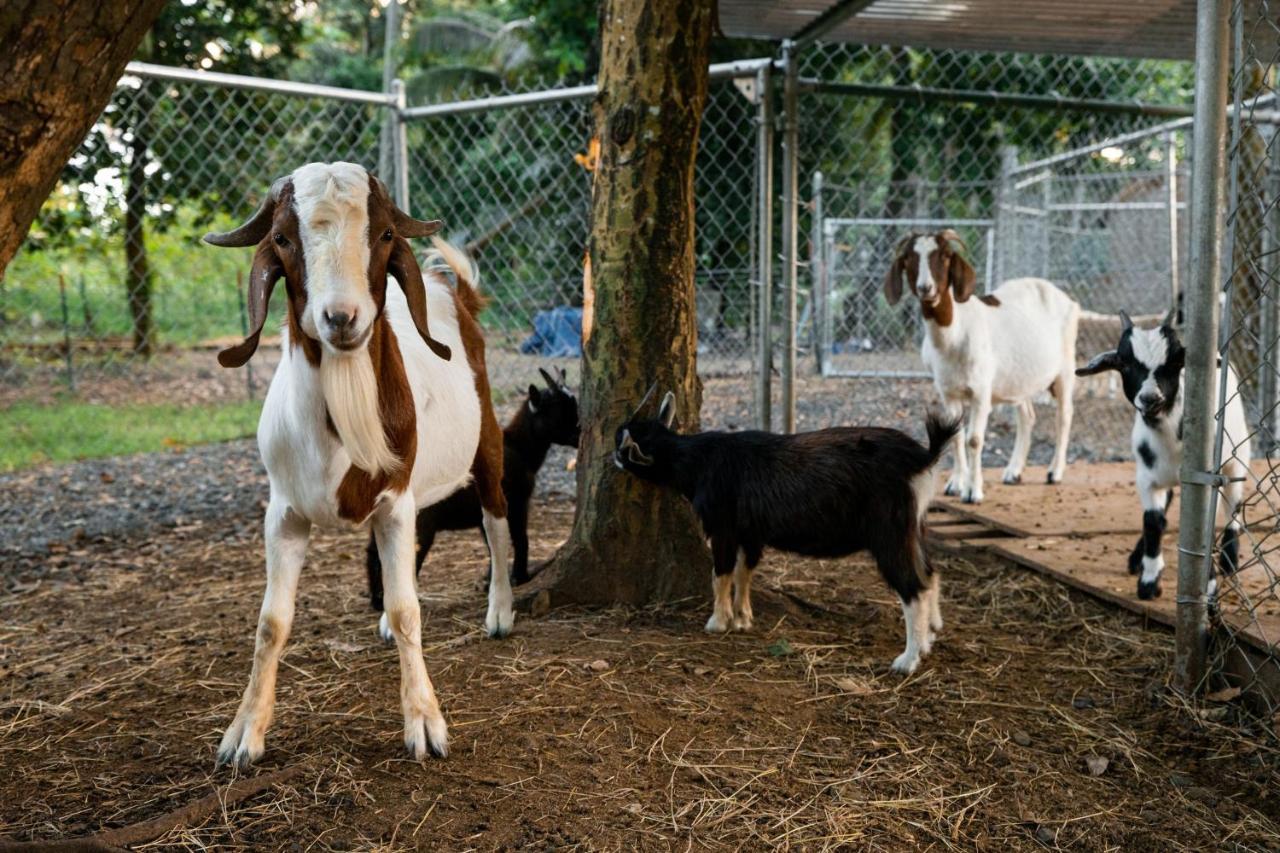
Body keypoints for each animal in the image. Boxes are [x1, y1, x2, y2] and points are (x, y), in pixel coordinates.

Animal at [204, 159, 514, 763]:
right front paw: (244, 732)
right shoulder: (283, 513)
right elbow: (270, 622)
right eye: (283, 238)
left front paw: (425, 724)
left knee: (495, 518)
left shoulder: (396, 500)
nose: (341, 318)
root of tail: (454, 292)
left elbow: (409, 608)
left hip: (487, 436)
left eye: (385, 234)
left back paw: (501, 613)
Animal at [363, 361, 578, 635]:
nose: (580, 433)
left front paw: (490, 582)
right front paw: (520, 577)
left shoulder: (485, 512)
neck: (519, 447)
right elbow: (521, 539)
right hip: (422, 525)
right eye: (558, 409)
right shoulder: (519, 502)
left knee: (372, 552)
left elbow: (493, 544)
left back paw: (376, 598)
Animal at [614, 389, 957, 676]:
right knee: (930, 573)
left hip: (889, 531)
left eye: (623, 446)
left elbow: (721, 573)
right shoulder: (751, 533)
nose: (612, 457)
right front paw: (743, 619)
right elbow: (744, 571)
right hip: (914, 526)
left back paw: (907, 660)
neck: (698, 460)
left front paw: (718, 622)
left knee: (913, 588)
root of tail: (923, 458)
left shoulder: (723, 527)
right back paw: (928, 639)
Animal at [890, 229, 1080, 502]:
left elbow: (974, 439)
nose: (926, 288)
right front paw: (955, 485)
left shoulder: (981, 391)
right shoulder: (948, 392)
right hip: (1019, 379)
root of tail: (1064, 298)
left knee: (1064, 416)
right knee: (1027, 416)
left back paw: (1054, 472)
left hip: (1065, 370)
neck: (954, 334)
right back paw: (1013, 472)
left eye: (945, 256)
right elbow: (956, 436)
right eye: (908, 258)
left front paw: (973, 491)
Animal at [1075, 311, 1244, 596]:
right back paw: (1137, 558)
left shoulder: (1207, 478)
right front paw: (1150, 579)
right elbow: (1154, 521)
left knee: (1234, 503)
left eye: (1175, 361)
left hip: (1238, 453)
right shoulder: (1146, 477)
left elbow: (1204, 530)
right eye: (1124, 363)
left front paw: (1209, 584)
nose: (1150, 398)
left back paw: (1229, 559)